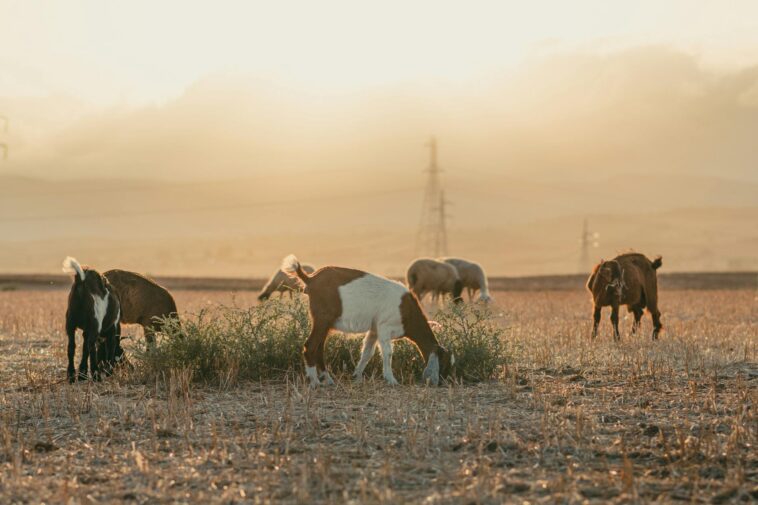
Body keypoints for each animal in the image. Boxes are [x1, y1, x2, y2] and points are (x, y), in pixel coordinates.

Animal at [281, 254, 454, 387]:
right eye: (444, 363)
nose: (443, 383)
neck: (407, 310)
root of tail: (310, 279)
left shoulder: (374, 329)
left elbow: (367, 352)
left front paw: (357, 376)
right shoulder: (385, 326)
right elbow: (388, 352)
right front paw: (391, 380)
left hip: (325, 323)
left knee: (319, 348)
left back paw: (328, 379)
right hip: (322, 318)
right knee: (310, 346)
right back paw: (315, 382)